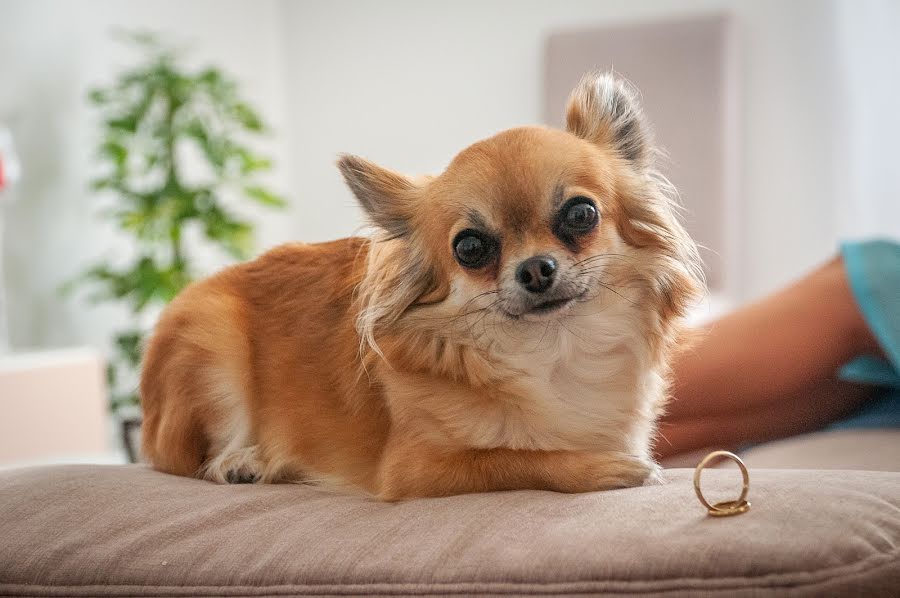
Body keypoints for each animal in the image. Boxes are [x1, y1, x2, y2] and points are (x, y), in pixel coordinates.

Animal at [141, 71, 704, 502]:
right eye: (470, 248)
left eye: (582, 214)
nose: (536, 269)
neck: (552, 354)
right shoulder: (416, 468)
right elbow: (512, 458)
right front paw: (607, 467)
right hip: (210, 342)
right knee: (185, 459)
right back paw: (240, 461)